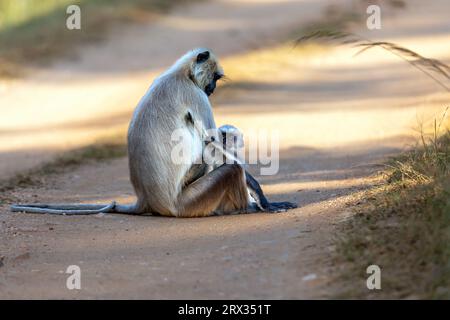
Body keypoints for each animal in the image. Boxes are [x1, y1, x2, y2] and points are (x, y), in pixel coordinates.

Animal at [10, 48, 298, 218]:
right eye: (214, 78)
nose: (213, 88)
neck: (179, 74)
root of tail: (147, 199)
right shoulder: (195, 94)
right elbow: (213, 141)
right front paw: (264, 200)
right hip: (187, 203)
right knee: (230, 170)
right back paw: (245, 209)